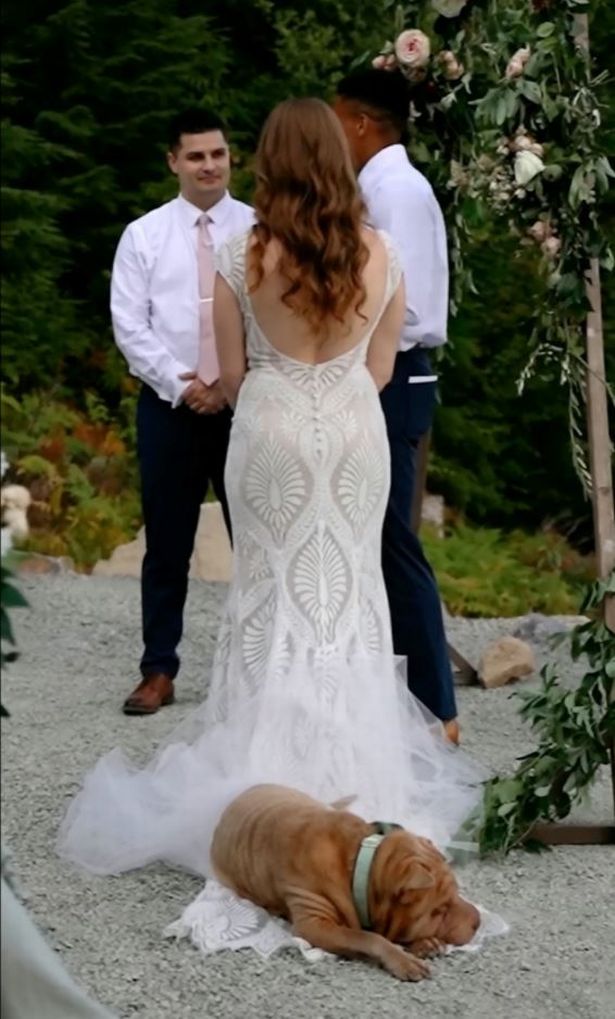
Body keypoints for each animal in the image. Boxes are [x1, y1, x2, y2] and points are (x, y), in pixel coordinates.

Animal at [208, 782, 478, 974]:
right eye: (441, 909)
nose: (478, 921)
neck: (361, 863)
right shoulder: (314, 924)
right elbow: (368, 937)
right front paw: (401, 958)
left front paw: (425, 943)